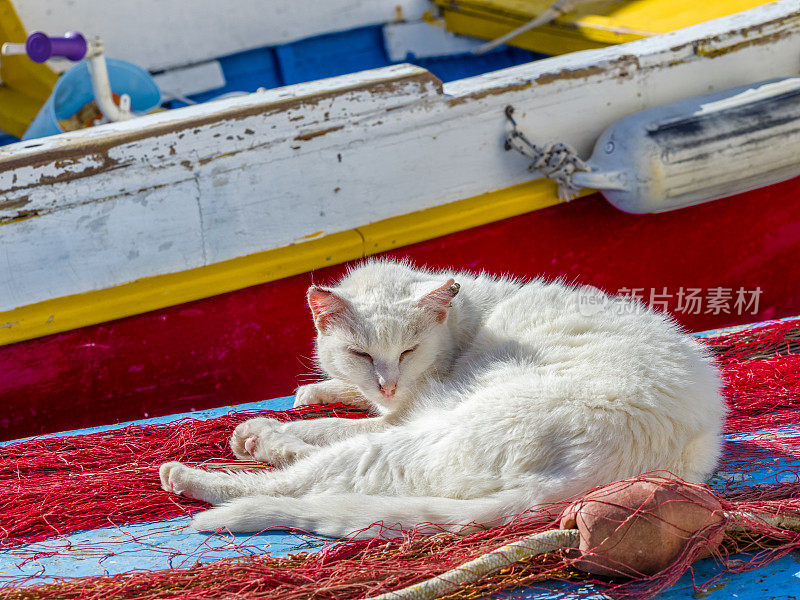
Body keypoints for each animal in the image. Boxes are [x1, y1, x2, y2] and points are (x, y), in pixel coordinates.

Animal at [161, 260, 724, 536]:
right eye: (362, 354)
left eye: (408, 350)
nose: (387, 382)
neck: (465, 320)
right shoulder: (389, 403)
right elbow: (341, 400)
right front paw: (318, 388)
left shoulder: (404, 412)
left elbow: (332, 424)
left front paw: (271, 427)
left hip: (424, 436)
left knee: (301, 478)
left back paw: (209, 469)